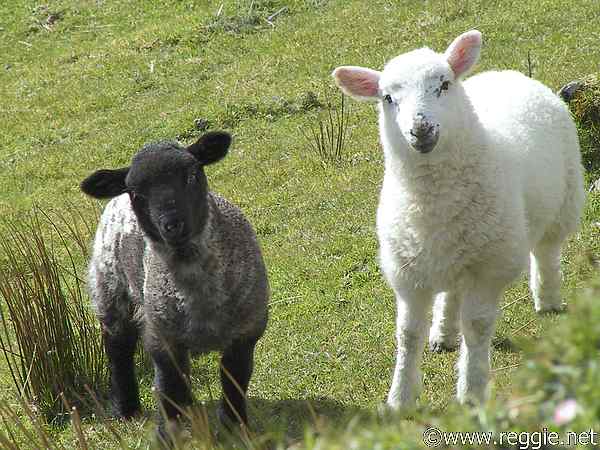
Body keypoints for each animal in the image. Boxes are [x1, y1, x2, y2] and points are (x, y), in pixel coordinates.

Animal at [81, 132, 268, 442]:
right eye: (136, 194)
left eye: (192, 175)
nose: (172, 225)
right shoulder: (162, 338)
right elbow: (168, 389)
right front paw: (168, 436)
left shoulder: (245, 334)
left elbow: (234, 382)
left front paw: (236, 429)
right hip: (109, 287)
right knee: (118, 348)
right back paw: (126, 410)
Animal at [332, 30, 580, 412]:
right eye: (388, 98)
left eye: (443, 85)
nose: (420, 129)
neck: (435, 202)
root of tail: (508, 73)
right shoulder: (408, 274)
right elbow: (407, 335)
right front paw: (400, 397)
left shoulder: (488, 267)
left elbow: (476, 327)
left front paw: (472, 391)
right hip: (450, 253)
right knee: (450, 291)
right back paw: (443, 333)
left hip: (563, 200)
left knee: (547, 252)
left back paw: (548, 298)